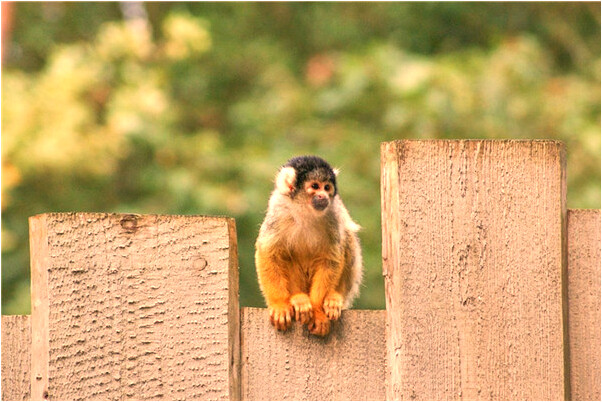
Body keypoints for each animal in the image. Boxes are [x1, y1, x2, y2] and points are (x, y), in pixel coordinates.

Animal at [253, 155, 360, 336]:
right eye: (315, 186)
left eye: (327, 187)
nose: (324, 196)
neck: (305, 211)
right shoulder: (279, 211)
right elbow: (269, 253)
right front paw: (279, 304)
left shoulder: (333, 214)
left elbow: (330, 259)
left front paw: (317, 311)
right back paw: (298, 299)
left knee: (347, 236)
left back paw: (334, 297)